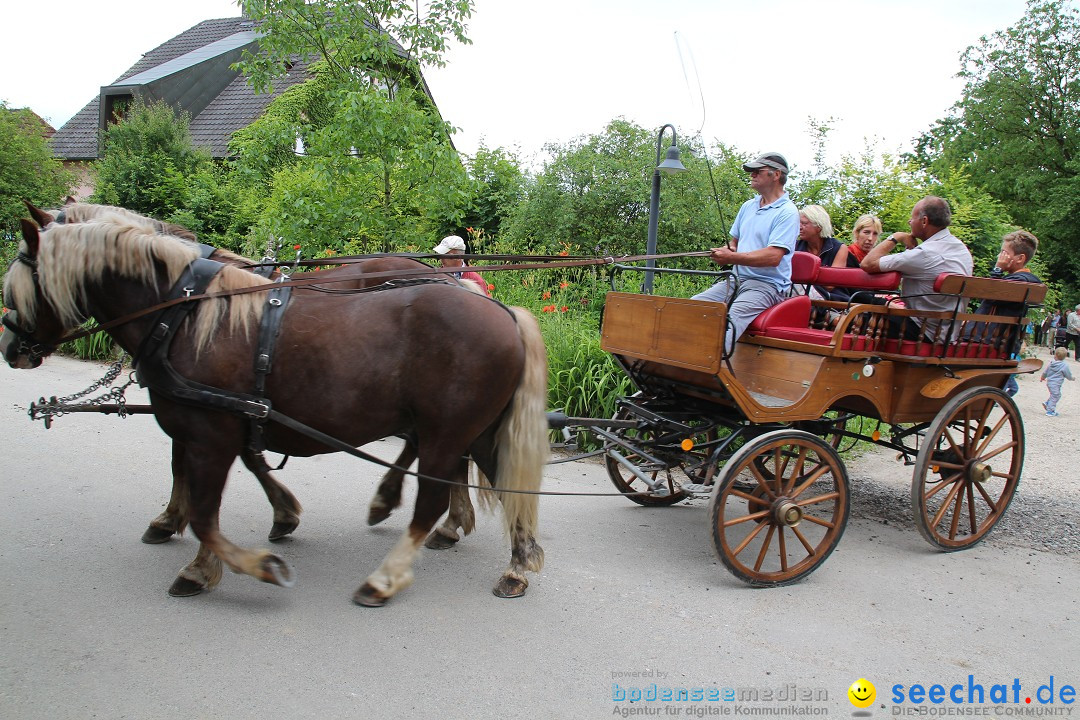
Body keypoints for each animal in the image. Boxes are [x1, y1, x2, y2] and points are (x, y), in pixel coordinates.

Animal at [4, 215, 548, 608]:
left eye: (13, 287)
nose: (11, 348)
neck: (182, 313)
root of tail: (501, 311)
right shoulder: (212, 424)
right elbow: (209, 482)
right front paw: (261, 522)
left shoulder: (209, 433)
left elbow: (206, 512)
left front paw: (231, 565)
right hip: (472, 430)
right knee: (504, 483)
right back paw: (514, 564)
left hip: (446, 431)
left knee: (433, 498)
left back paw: (385, 576)